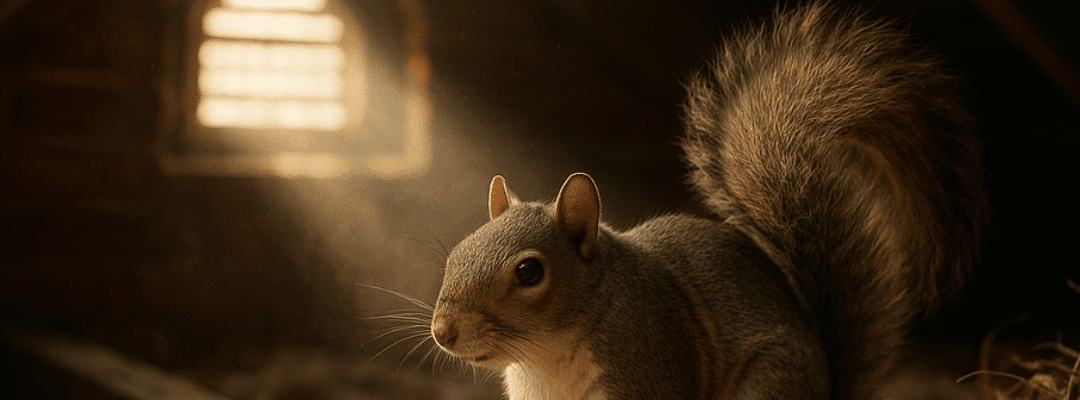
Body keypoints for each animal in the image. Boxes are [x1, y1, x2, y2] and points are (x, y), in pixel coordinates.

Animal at [429, 3, 989, 400]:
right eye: (456, 253)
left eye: (529, 272)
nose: (442, 332)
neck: (544, 357)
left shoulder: (652, 361)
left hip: (769, 384)